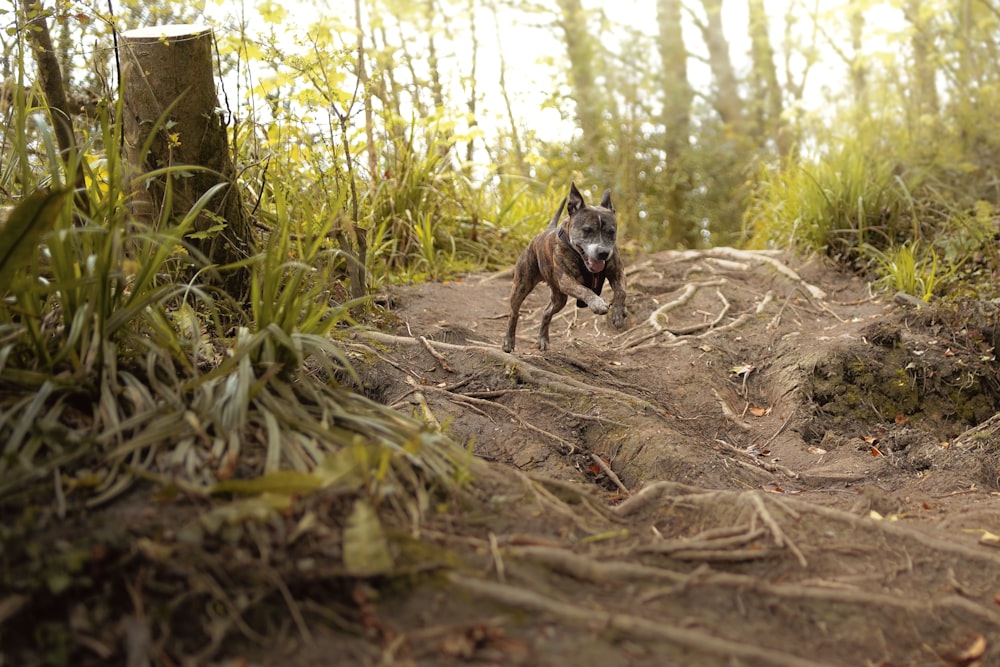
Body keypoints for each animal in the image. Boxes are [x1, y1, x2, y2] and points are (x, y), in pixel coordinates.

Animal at [508, 180, 624, 352]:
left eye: (611, 232)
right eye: (587, 230)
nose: (603, 252)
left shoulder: (617, 271)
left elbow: (621, 291)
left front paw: (618, 313)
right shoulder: (566, 280)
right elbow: (585, 290)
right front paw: (597, 303)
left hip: (559, 298)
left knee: (547, 312)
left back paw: (543, 339)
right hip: (522, 285)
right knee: (514, 311)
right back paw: (508, 341)